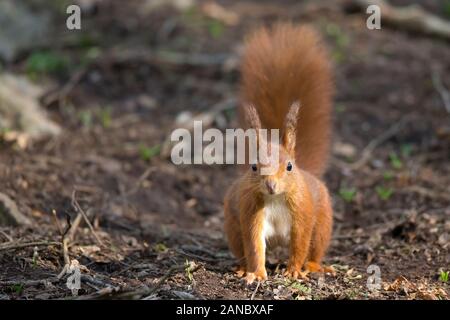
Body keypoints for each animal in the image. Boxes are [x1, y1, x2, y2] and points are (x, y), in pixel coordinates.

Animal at [223, 23, 332, 284]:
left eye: (289, 166)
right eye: (254, 166)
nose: (271, 185)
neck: (275, 198)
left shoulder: (303, 212)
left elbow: (300, 244)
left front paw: (293, 270)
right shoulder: (251, 211)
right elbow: (254, 246)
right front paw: (256, 273)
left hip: (323, 223)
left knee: (314, 248)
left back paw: (314, 266)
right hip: (232, 226)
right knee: (242, 249)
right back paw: (241, 267)